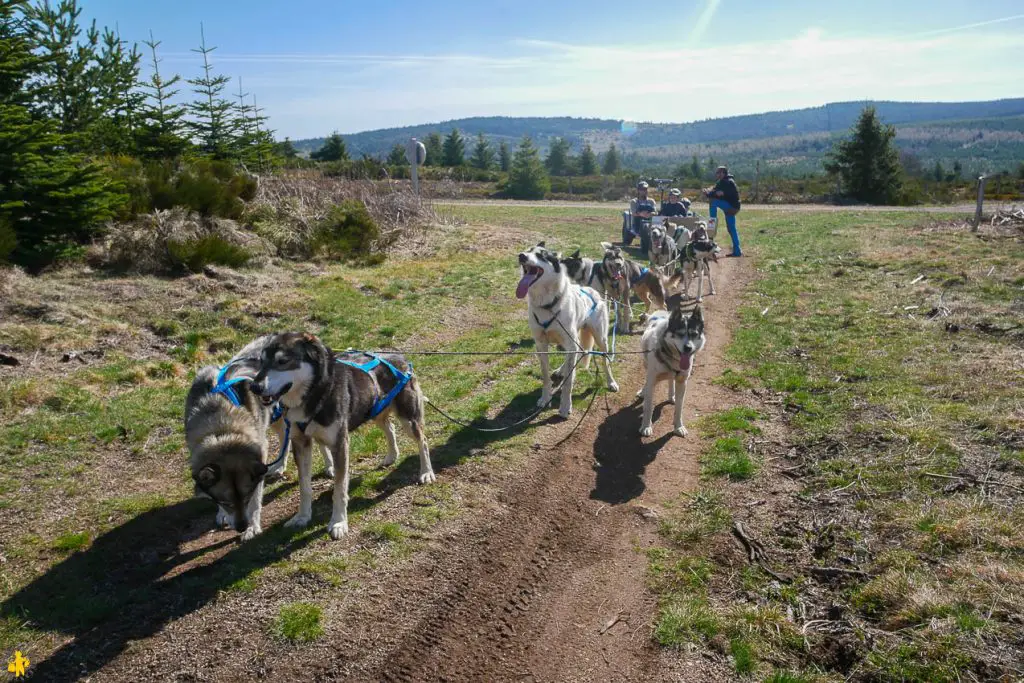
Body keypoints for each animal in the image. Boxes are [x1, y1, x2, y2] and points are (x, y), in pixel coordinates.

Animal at [254, 333, 436, 540]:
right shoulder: (301, 443)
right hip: (375, 411)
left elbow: (339, 489)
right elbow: (304, 487)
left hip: (409, 420)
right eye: (261, 361)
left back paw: (426, 472)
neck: (316, 394)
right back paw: (391, 456)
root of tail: (401, 357)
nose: (254, 387)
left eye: (282, 361)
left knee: (423, 441)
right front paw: (302, 517)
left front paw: (339, 522)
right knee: (390, 428)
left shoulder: (339, 445)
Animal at [516, 242, 618, 419]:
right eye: (528, 251)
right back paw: (561, 370)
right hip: (571, 340)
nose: (521, 255)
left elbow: (568, 383)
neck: (547, 305)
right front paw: (545, 398)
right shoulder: (541, 345)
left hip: (599, 339)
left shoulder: (570, 344)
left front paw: (565, 406)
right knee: (577, 353)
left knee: (605, 362)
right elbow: (545, 375)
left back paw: (611, 382)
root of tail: (592, 291)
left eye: (542, 255)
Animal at [634, 305, 708, 438]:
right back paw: (643, 391)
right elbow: (648, 406)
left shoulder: (682, 383)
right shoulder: (652, 381)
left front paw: (678, 427)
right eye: (679, 334)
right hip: (646, 363)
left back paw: (671, 395)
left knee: (670, 380)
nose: (688, 348)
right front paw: (646, 426)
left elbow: (679, 408)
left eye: (694, 334)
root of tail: (659, 314)